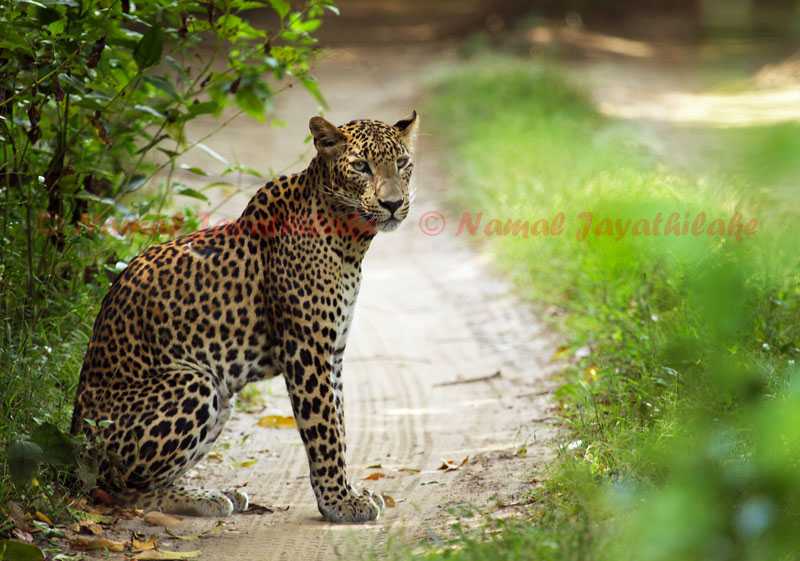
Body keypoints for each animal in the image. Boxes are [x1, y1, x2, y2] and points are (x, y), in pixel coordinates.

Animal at [70, 111, 418, 524]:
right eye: (362, 166)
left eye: (402, 162)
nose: (393, 203)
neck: (351, 240)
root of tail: (75, 444)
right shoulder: (306, 351)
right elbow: (325, 431)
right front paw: (340, 502)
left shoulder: (332, 353)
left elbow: (340, 424)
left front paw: (348, 492)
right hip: (195, 381)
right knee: (123, 491)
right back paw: (200, 497)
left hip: (222, 399)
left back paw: (213, 493)